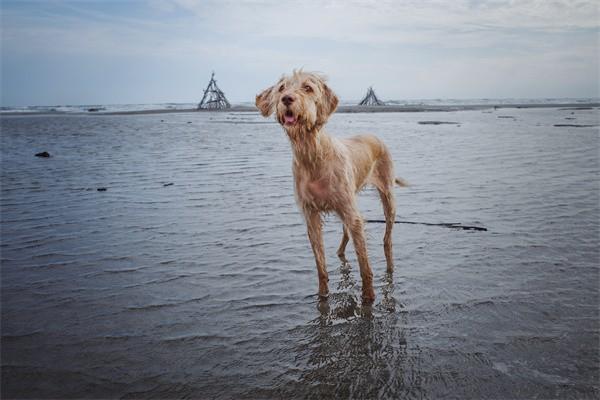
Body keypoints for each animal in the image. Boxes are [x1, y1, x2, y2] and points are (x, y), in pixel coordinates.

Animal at [255, 71, 406, 304]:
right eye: (281, 88)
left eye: (307, 88)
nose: (287, 99)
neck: (313, 155)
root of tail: (374, 136)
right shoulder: (311, 216)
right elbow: (321, 265)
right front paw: (323, 295)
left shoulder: (351, 213)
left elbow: (364, 265)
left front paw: (369, 298)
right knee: (346, 233)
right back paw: (341, 252)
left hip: (387, 198)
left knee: (387, 237)